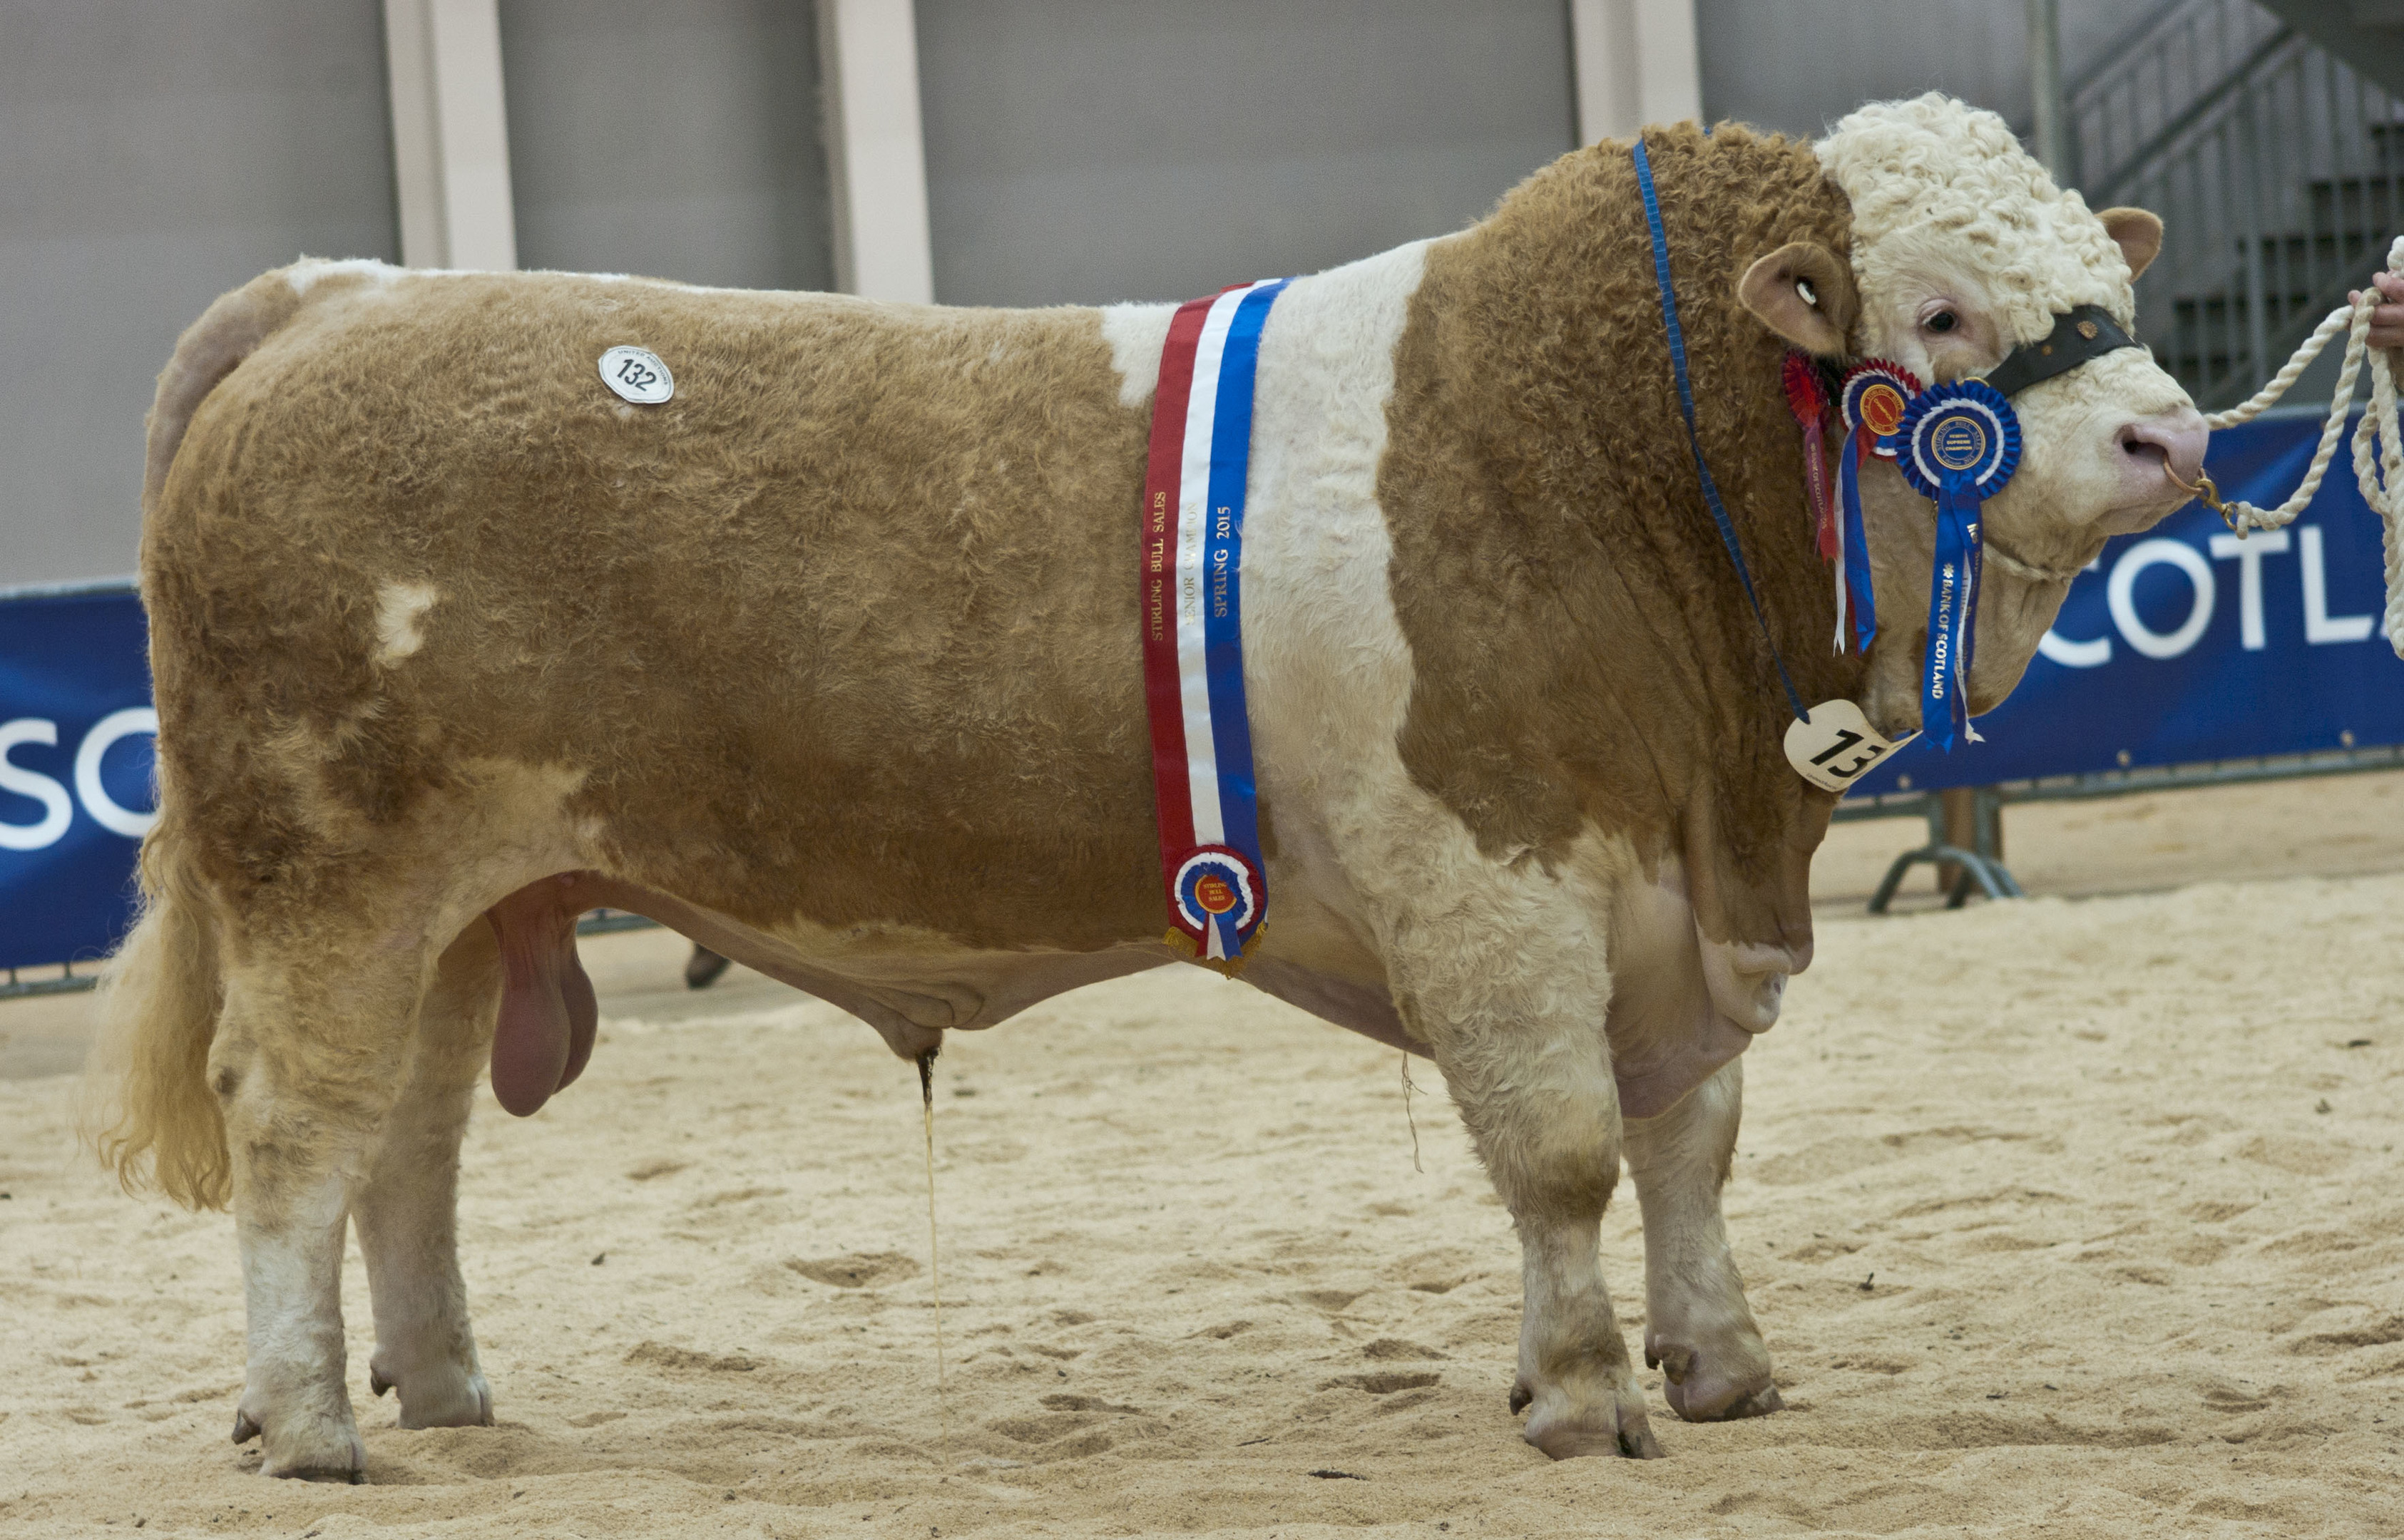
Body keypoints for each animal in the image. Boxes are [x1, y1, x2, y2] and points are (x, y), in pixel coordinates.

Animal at [88, 93, 2201, 1460]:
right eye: (1938, 315)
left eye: (2097, 275)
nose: (2173, 437)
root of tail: (342, 291)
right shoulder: (1491, 878)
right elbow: (1564, 1144)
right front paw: (1584, 1393)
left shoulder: (1671, 894)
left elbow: (1690, 1140)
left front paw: (1722, 1363)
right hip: (325, 877)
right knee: (295, 1129)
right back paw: (303, 1421)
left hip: (466, 904)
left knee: (409, 1144)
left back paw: (444, 1393)